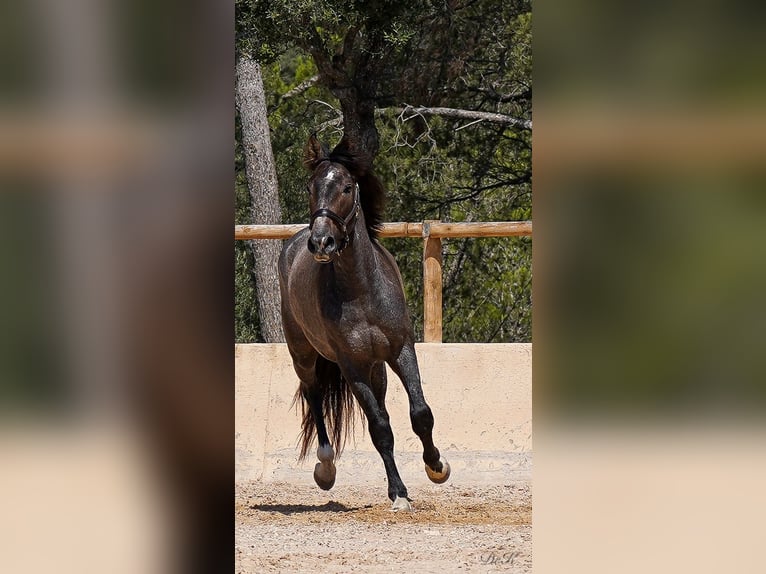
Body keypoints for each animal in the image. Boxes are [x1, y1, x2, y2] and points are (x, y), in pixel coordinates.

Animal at [277, 134, 451, 511]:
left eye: (345, 187)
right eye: (310, 186)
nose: (321, 242)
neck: (361, 290)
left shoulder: (401, 351)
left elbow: (421, 413)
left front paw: (436, 466)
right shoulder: (351, 366)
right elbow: (380, 429)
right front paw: (399, 494)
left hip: (377, 367)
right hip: (304, 355)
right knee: (314, 396)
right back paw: (325, 468)